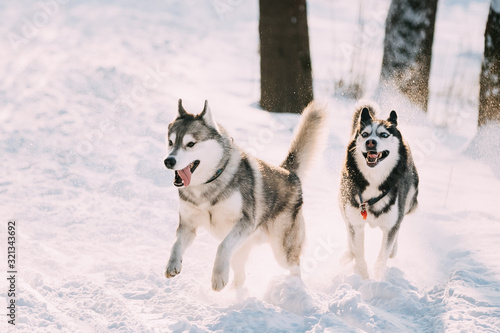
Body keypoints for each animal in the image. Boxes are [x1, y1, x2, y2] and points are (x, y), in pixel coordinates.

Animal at [164, 99, 328, 290]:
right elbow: (176, 244)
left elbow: (222, 246)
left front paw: (218, 277)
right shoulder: (188, 225)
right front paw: (172, 264)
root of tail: (288, 172)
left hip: (282, 250)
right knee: (241, 275)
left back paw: (294, 287)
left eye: (191, 144)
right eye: (170, 142)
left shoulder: (246, 221)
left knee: (294, 267)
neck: (208, 184)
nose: (168, 161)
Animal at [340, 102, 418, 278]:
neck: (374, 181)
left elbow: (382, 258)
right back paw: (348, 253)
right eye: (365, 134)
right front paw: (363, 279)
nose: (370, 142)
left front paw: (377, 279)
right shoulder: (355, 223)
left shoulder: (391, 225)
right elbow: (359, 255)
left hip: (409, 201)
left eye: (384, 135)